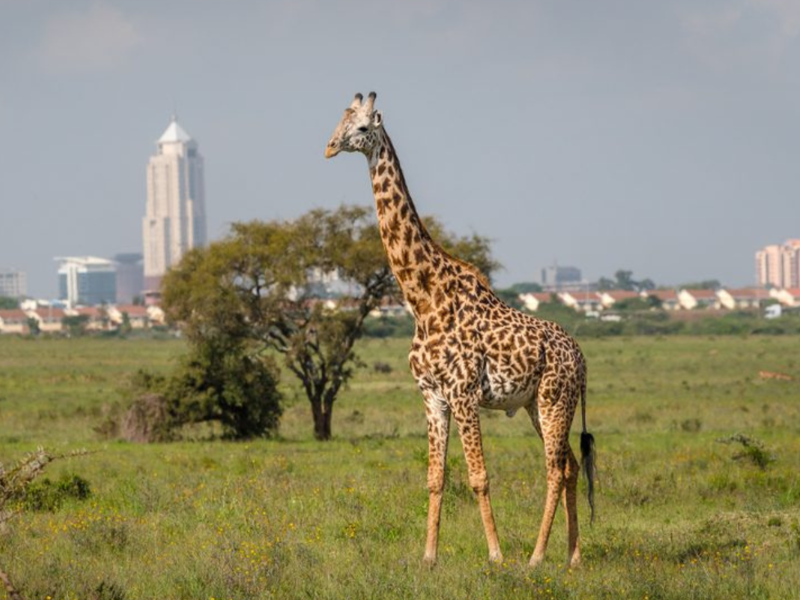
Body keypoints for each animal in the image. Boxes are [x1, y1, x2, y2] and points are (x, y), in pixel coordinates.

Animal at [325, 92, 596, 568]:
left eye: (361, 127)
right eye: (340, 121)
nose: (329, 147)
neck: (423, 298)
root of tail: (580, 359)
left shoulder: (464, 392)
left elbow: (478, 476)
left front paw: (496, 555)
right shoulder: (432, 394)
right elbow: (435, 477)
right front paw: (429, 557)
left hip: (554, 399)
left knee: (554, 469)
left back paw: (536, 557)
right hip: (535, 404)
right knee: (570, 467)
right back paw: (573, 556)